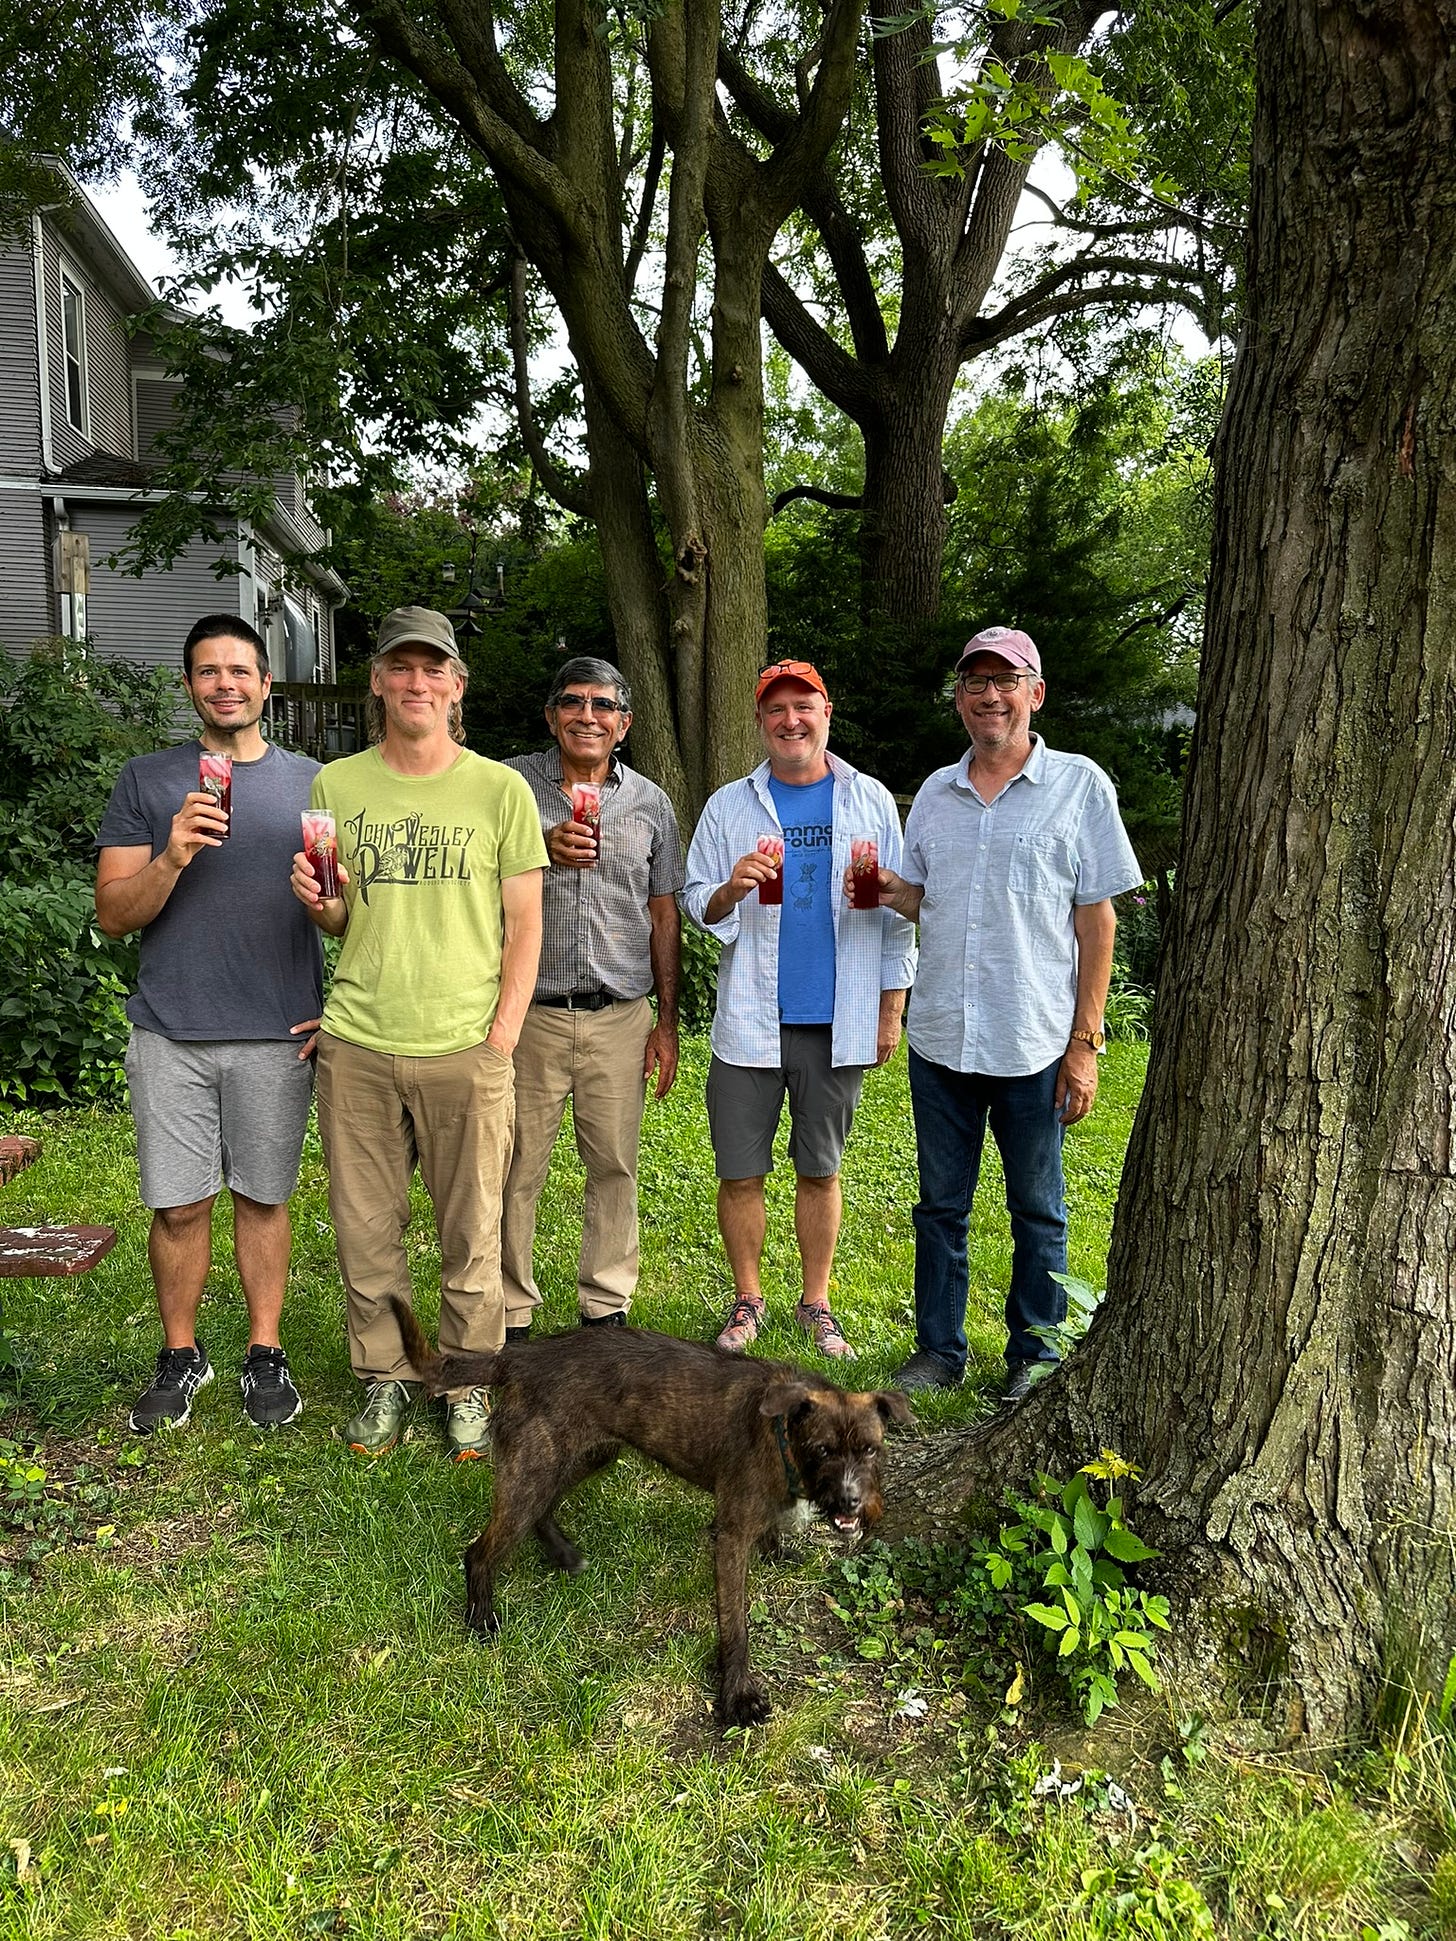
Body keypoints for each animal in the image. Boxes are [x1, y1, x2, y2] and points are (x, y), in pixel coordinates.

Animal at [390, 1304, 912, 1731]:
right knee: (481, 1550)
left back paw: (561, 1553)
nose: (852, 1501)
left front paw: (778, 1551)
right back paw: (481, 1618)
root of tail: (518, 1357)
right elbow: (736, 1626)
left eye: (870, 1449)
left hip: (584, 1455)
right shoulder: (729, 1537)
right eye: (823, 1450)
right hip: (536, 1467)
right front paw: (738, 1696)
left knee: (542, 1509)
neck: (781, 1432)